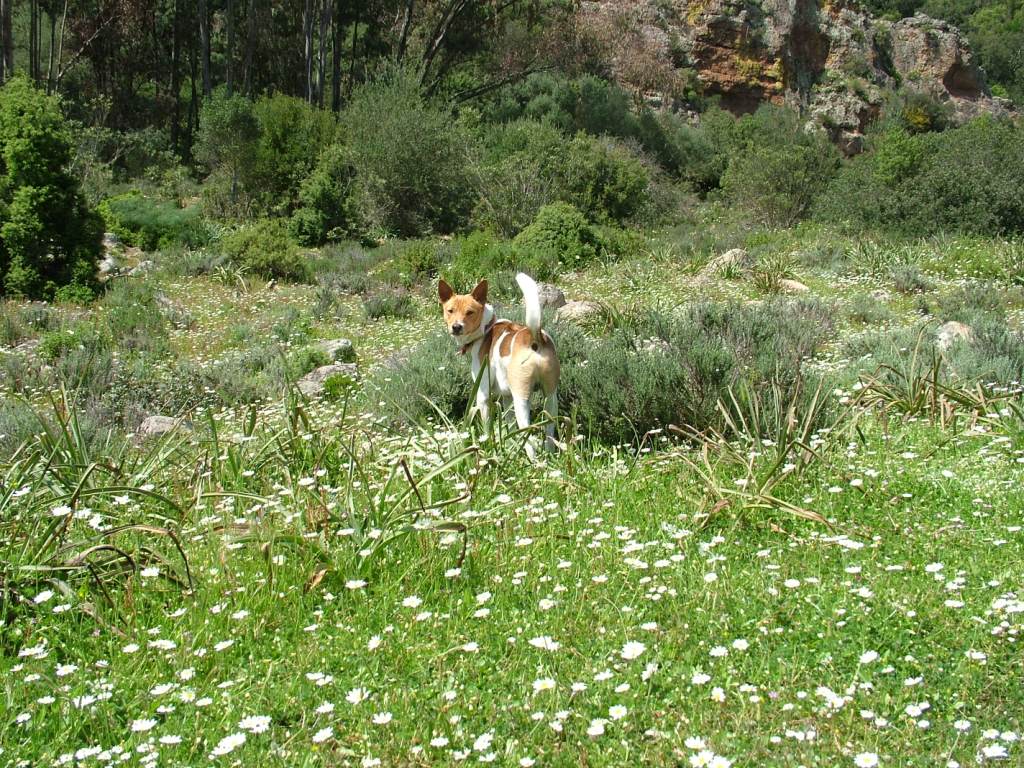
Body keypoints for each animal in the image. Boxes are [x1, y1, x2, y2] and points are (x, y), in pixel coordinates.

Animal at [438, 274, 561, 460]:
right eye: (450, 310)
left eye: (470, 312)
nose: (456, 327)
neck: (486, 328)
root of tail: (534, 336)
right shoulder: (507, 398)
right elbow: (509, 426)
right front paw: (509, 446)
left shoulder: (483, 396)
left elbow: (487, 428)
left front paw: (488, 446)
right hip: (550, 398)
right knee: (549, 430)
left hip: (521, 399)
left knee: (528, 436)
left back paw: (533, 462)